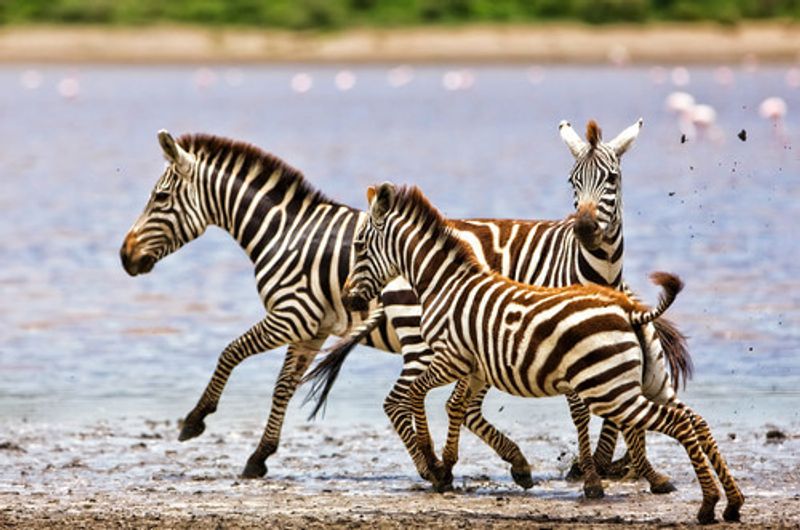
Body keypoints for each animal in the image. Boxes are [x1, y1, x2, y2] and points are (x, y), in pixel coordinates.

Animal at [119, 130, 568, 480]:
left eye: (160, 197)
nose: (124, 257)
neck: (285, 232)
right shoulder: (311, 329)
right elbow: (283, 387)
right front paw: (260, 456)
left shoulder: (291, 315)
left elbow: (230, 352)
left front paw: (196, 420)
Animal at [304, 117, 692, 492]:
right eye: (572, 181)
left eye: (612, 178)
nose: (584, 229)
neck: (598, 271)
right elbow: (585, 409)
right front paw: (594, 469)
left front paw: (608, 464)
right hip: (426, 344)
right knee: (403, 400)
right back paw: (436, 468)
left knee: (456, 405)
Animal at [342, 183, 744, 524]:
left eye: (359, 246)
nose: (347, 300)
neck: (443, 283)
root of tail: (631, 312)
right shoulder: (474, 367)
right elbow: (453, 406)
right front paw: (446, 466)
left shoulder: (449, 358)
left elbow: (414, 396)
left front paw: (434, 461)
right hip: (649, 382)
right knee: (695, 420)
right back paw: (732, 503)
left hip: (611, 391)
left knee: (680, 423)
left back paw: (708, 505)